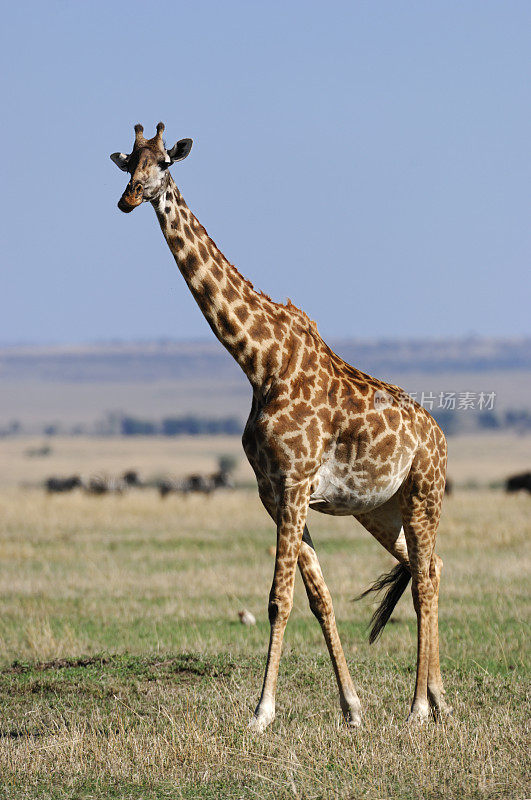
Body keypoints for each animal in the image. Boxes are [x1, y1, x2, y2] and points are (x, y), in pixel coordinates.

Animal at [110, 122, 450, 728]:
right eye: (129, 163)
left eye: (164, 164)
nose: (127, 199)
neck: (258, 361)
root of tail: (441, 438)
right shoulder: (275, 493)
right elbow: (317, 598)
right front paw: (351, 709)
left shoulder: (293, 485)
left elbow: (278, 599)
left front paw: (261, 712)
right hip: (381, 510)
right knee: (426, 567)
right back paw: (439, 700)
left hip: (423, 494)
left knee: (426, 580)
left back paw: (417, 708)